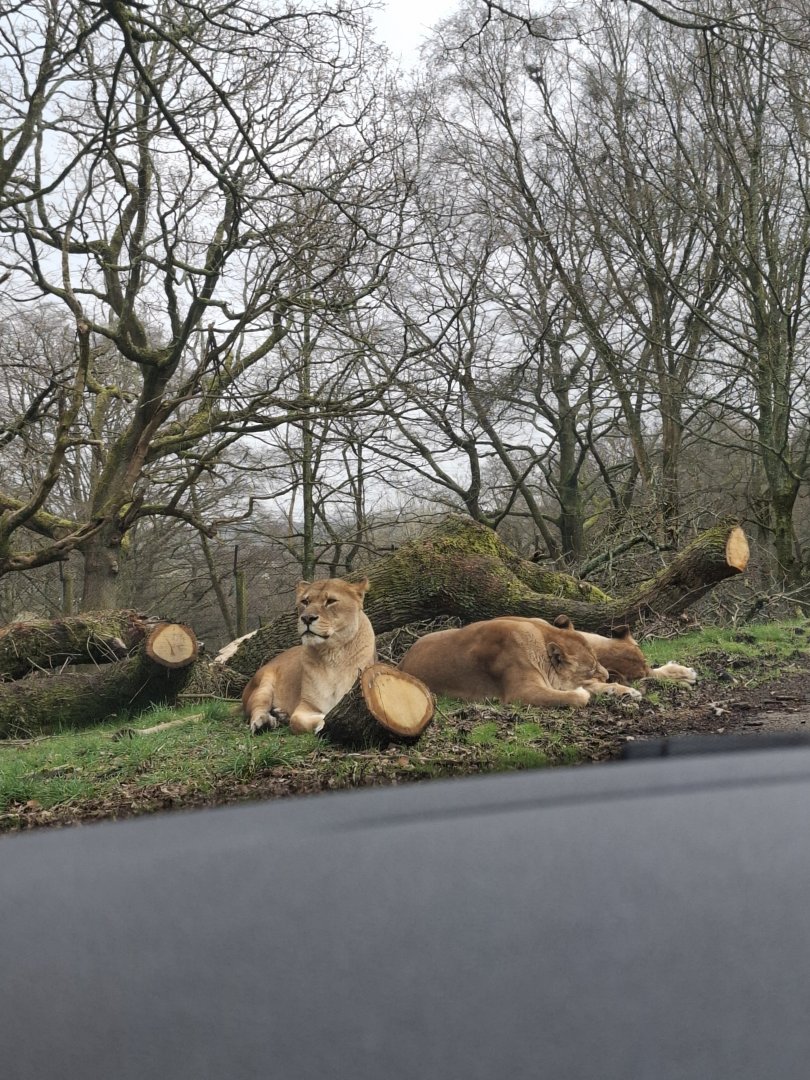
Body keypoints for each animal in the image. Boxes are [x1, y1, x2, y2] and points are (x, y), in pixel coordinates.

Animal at [242, 577, 375, 735]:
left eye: (331, 601)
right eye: (305, 601)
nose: (306, 618)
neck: (332, 654)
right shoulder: (306, 705)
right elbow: (298, 720)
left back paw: (281, 715)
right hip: (262, 685)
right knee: (257, 708)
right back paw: (264, 722)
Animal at [399, 617, 641, 708]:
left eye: (598, 661)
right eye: (590, 669)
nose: (607, 674)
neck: (541, 635)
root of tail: (402, 661)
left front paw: (627, 691)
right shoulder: (521, 692)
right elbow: (574, 696)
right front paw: (584, 693)